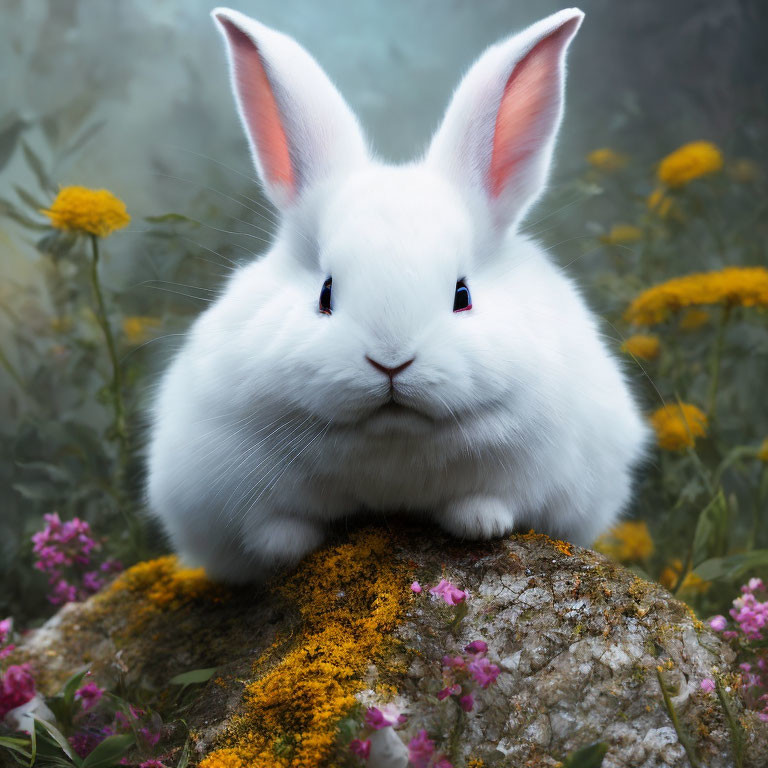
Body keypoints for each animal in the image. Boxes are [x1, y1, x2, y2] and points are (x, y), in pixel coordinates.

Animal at [146, 6, 648, 584]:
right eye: (325, 293)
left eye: (462, 294)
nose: (390, 362)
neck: (392, 442)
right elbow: (271, 527)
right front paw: (284, 549)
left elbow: (495, 501)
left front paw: (481, 523)